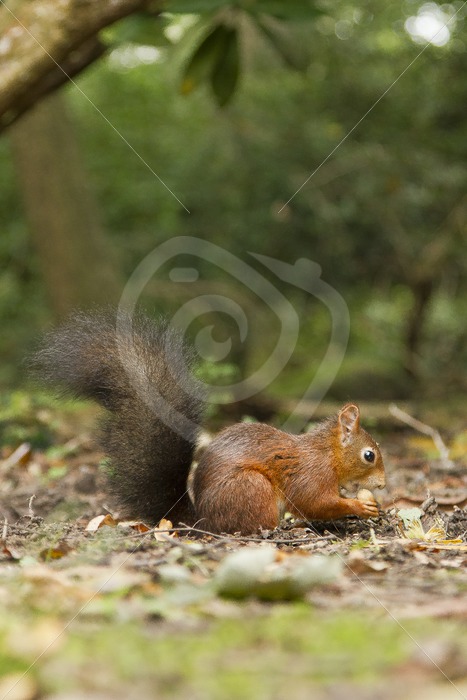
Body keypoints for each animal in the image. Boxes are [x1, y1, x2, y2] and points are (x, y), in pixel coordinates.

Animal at [32, 309, 386, 534]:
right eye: (369, 455)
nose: (383, 485)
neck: (328, 454)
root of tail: (203, 522)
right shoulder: (310, 474)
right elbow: (315, 502)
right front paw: (359, 507)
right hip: (251, 488)